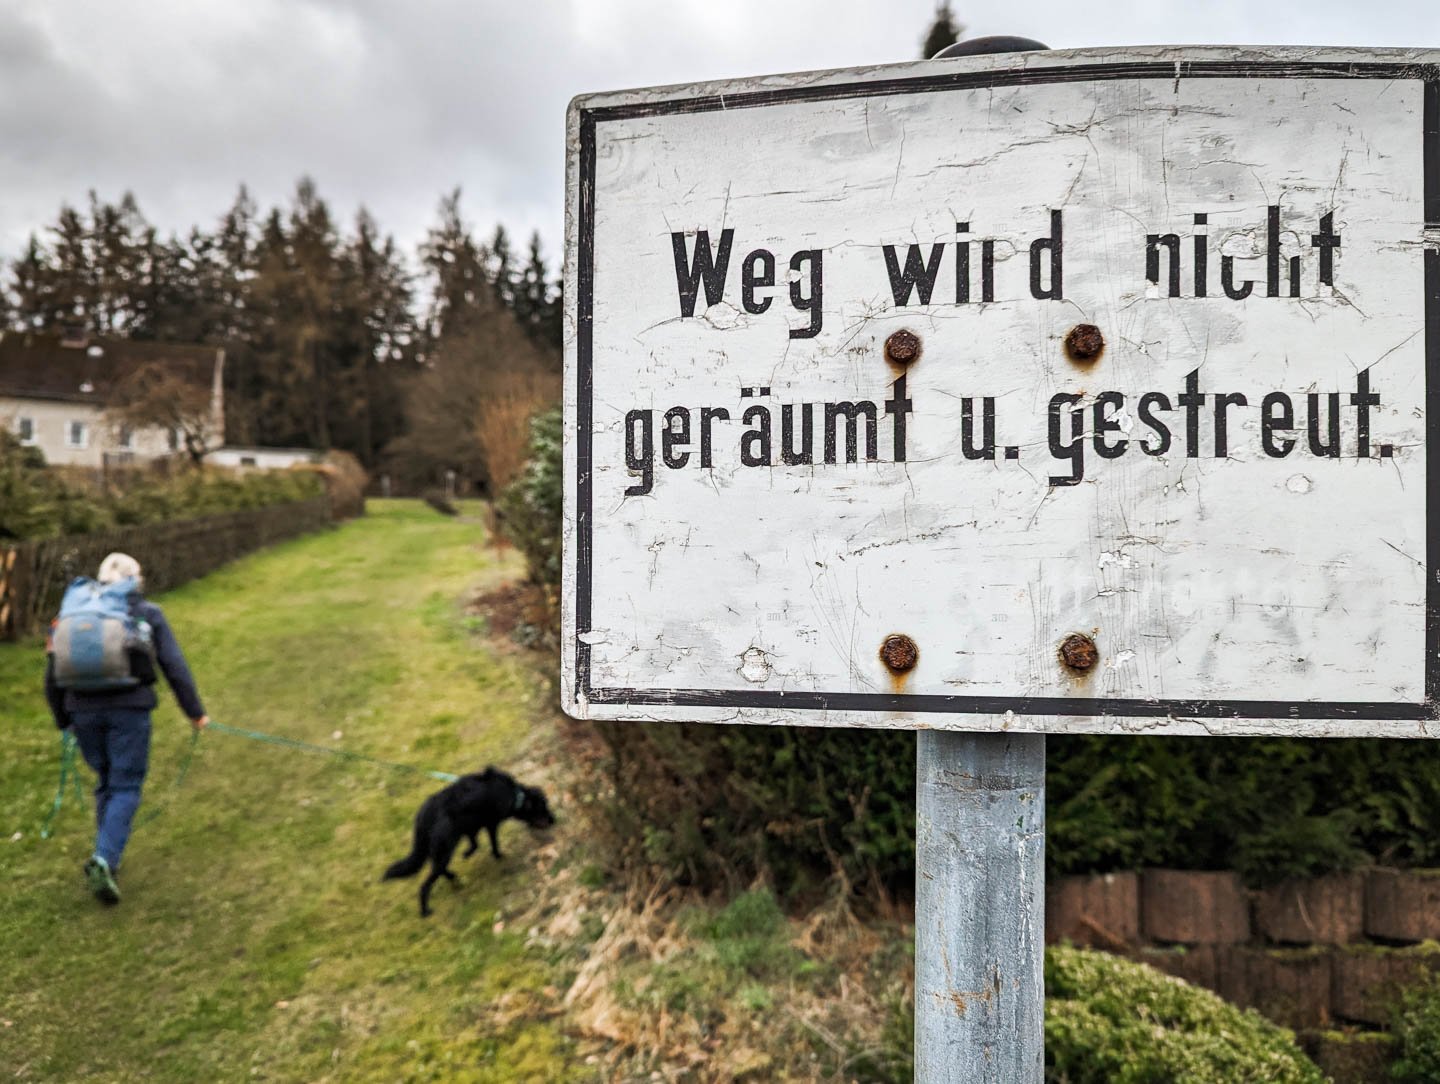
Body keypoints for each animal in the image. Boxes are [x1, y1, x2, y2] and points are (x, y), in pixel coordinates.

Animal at [383, 765, 555, 915]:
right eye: (543, 808)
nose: (554, 820)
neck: (514, 794)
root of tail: (422, 818)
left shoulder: (471, 827)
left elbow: (475, 843)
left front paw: (467, 853)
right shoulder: (491, 823)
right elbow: (493, 843)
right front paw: (498, 855)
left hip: (440, 850)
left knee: (438, 868)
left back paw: (452, 877)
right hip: (444, 849)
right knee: (426, 884)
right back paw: (425, 911)